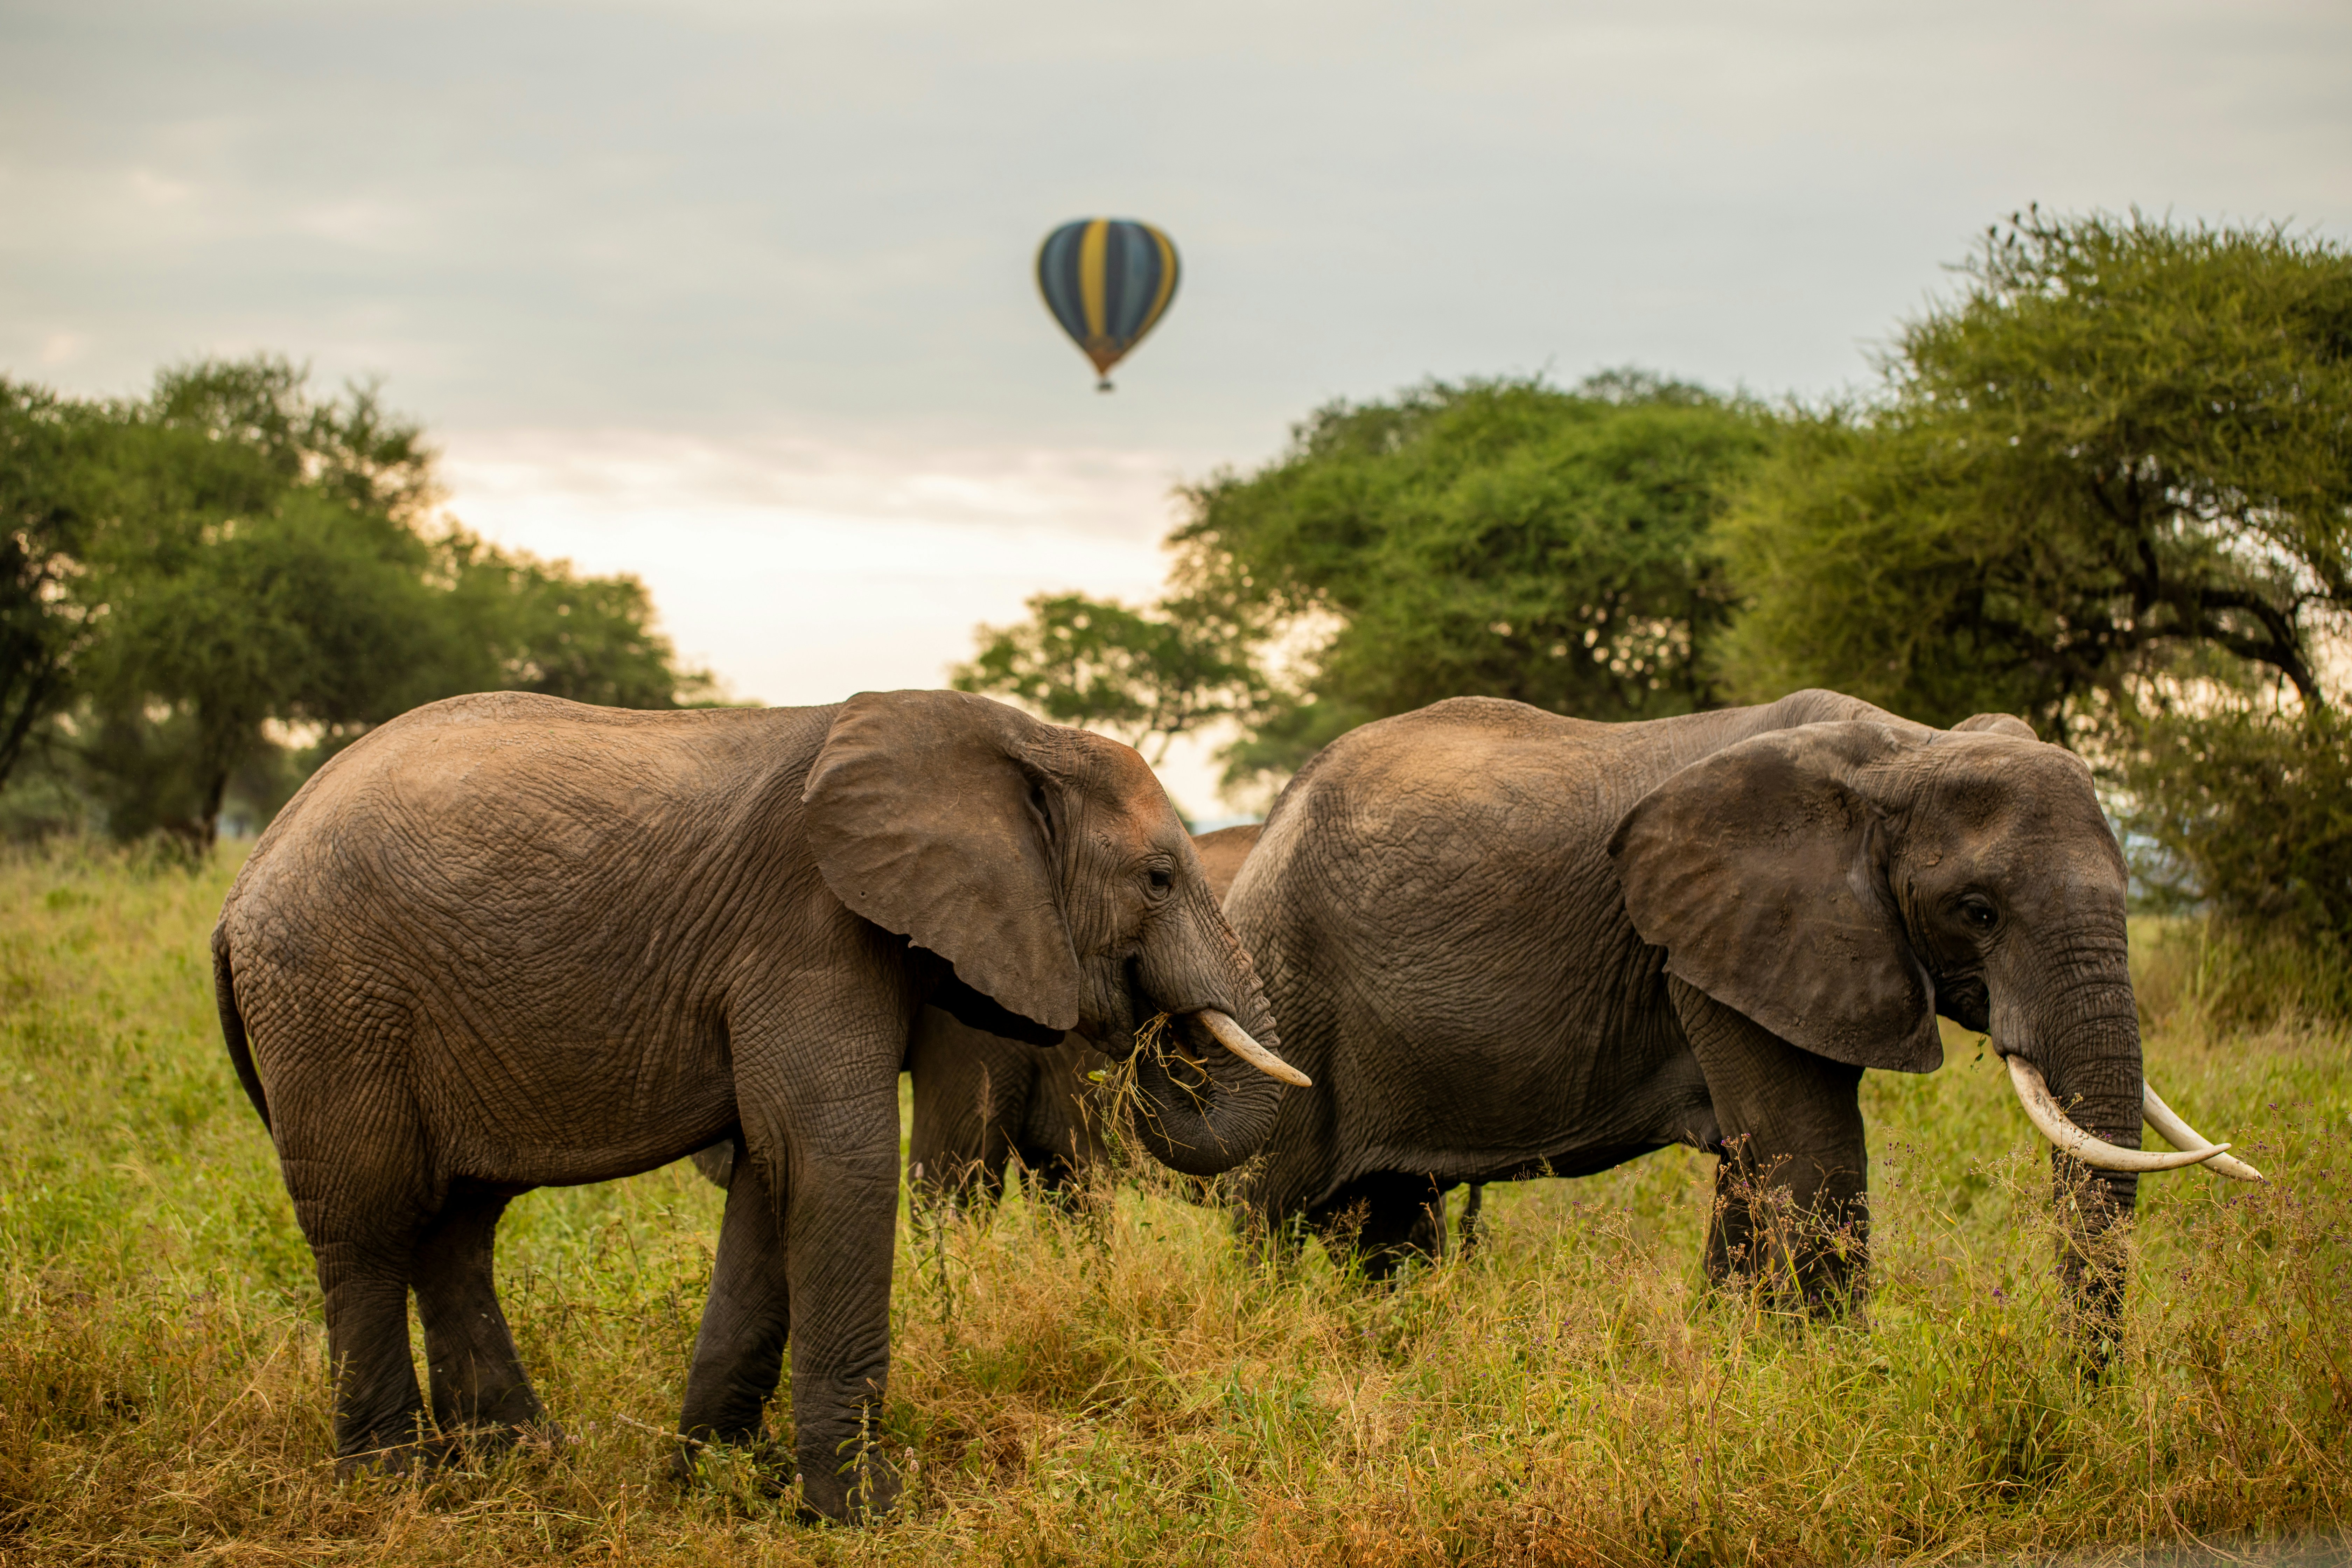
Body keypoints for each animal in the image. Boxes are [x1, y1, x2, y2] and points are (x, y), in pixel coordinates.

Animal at [211, 691, 1308, 1523]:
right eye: (1158, 879)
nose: (1154, 1040)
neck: (1007, 736)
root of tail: (246, 879)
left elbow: (769, 1181)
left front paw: (718, 1483)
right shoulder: (810, 932)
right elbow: (836, 1163)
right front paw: (871, 1512)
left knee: (458, 1225)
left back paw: (526, 1461)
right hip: (334, 1004)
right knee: (367, 1226)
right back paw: (396, 1487)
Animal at [1223, 691, 2248, 1316]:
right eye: (1979, 912)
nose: (2085, 1388)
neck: (1902, 751)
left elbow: (1759, 1172)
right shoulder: (1714, 942)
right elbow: (1815, 1160)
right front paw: (1839, 1393)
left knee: (1389, 1222)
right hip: (1283, 994)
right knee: (1265, 1214)